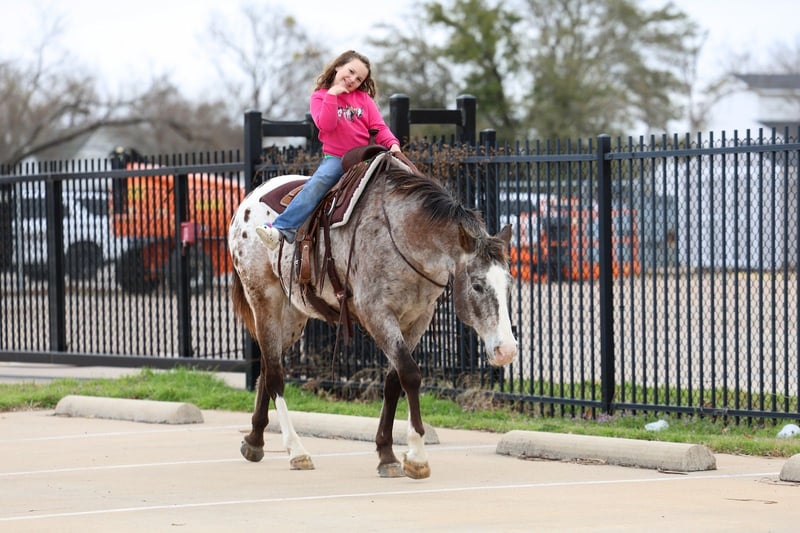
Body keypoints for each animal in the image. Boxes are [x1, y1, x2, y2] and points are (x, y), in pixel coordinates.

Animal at [227, 152, 517, 479]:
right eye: (478, 285)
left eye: (509, 283)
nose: (507, 350)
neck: (405, 236)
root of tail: (249, 200)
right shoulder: (377, 314)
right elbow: (410, 374)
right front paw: (417, 456)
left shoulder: (417, 318)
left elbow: (393, 382)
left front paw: (387, 453)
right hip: (263, 299)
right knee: (275, 373)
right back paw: (296, 450)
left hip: (291, 317)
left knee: (267, 365)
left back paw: (255, 440)